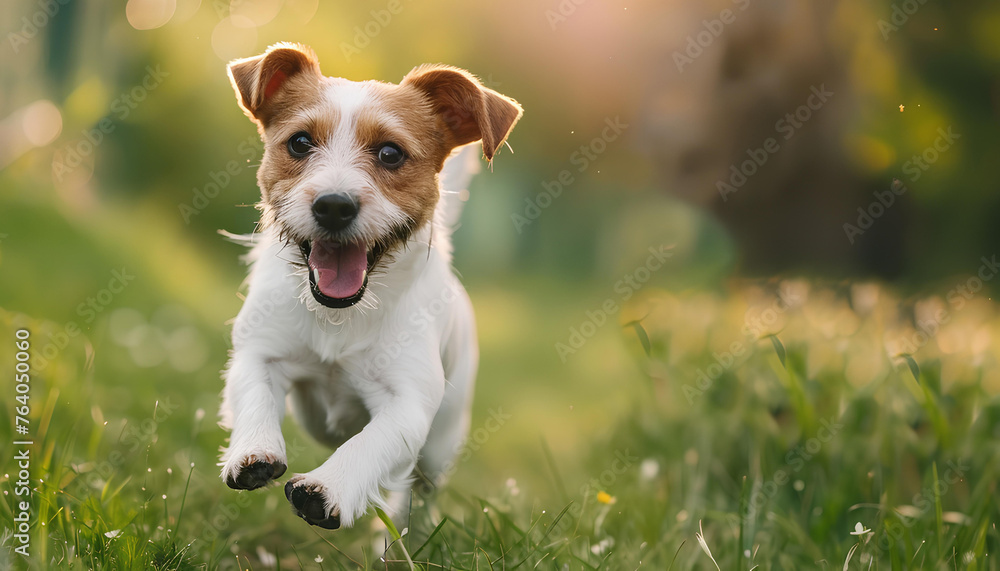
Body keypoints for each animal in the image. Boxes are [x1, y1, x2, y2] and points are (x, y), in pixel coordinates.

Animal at [215, 41, 520, 532]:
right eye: (300, 142)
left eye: (391, 153)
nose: (334, 206)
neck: (340, 315)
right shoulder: (259, 354)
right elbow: (255, 395)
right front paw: (254, 451)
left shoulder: (408, 404)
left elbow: (369, 444)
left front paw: (328, 488)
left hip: (440, 447)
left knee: (416, 492)